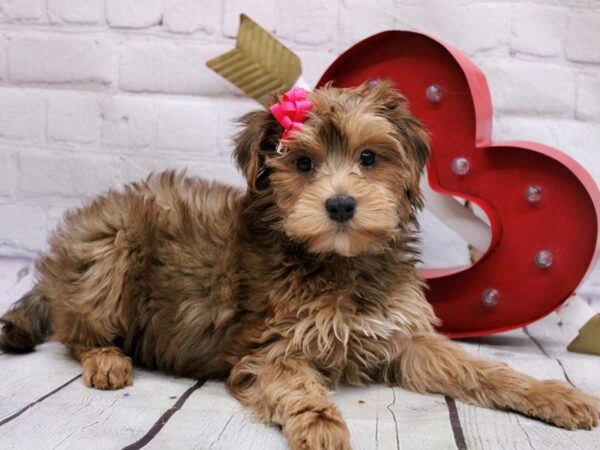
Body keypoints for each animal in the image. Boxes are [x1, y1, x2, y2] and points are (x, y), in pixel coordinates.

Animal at [2, 82, 596, 448]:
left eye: (368, 158)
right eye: (304, 164)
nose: (340, 205)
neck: (338, 261)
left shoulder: (403, 336)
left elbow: (479, 367)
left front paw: (553, 394)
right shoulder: (270, 348)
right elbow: (296, 386)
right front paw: (322, 426)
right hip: (109, 250)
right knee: (75, 329)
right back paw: (106, 359)